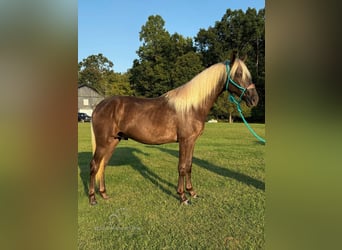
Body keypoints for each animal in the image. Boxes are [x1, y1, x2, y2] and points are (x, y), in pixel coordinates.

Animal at [88, 56, 260, 205]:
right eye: (238, 74)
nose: (255, 99)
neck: (192, 106)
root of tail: (100, 106)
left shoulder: (192, 141)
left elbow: (189, 165)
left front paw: (192, 193)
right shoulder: (185, 141)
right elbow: (182, 167)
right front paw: (183, 197)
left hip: (113, 141)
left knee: (103, 165)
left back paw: (104, 194)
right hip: (103, 143)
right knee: (94, 165)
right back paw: (92, 199)